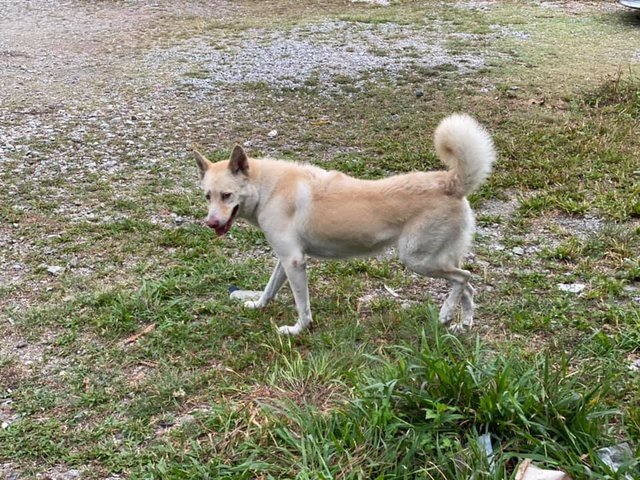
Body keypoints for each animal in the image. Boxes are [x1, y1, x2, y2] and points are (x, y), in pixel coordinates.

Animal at [194, 114, 496, 336]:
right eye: (207, 196)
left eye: (227, 195)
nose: (211, 223)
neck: (267, 188)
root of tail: (450, 182)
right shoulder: (285, 260)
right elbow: (269, 289)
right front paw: (258, 305)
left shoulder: (294, 261)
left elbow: (302, 305)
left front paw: (298, 330)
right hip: (439, 257)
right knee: (467, 285)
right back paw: (462, 323)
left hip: (417, 259)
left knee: (463, 277)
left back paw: (446, 313)